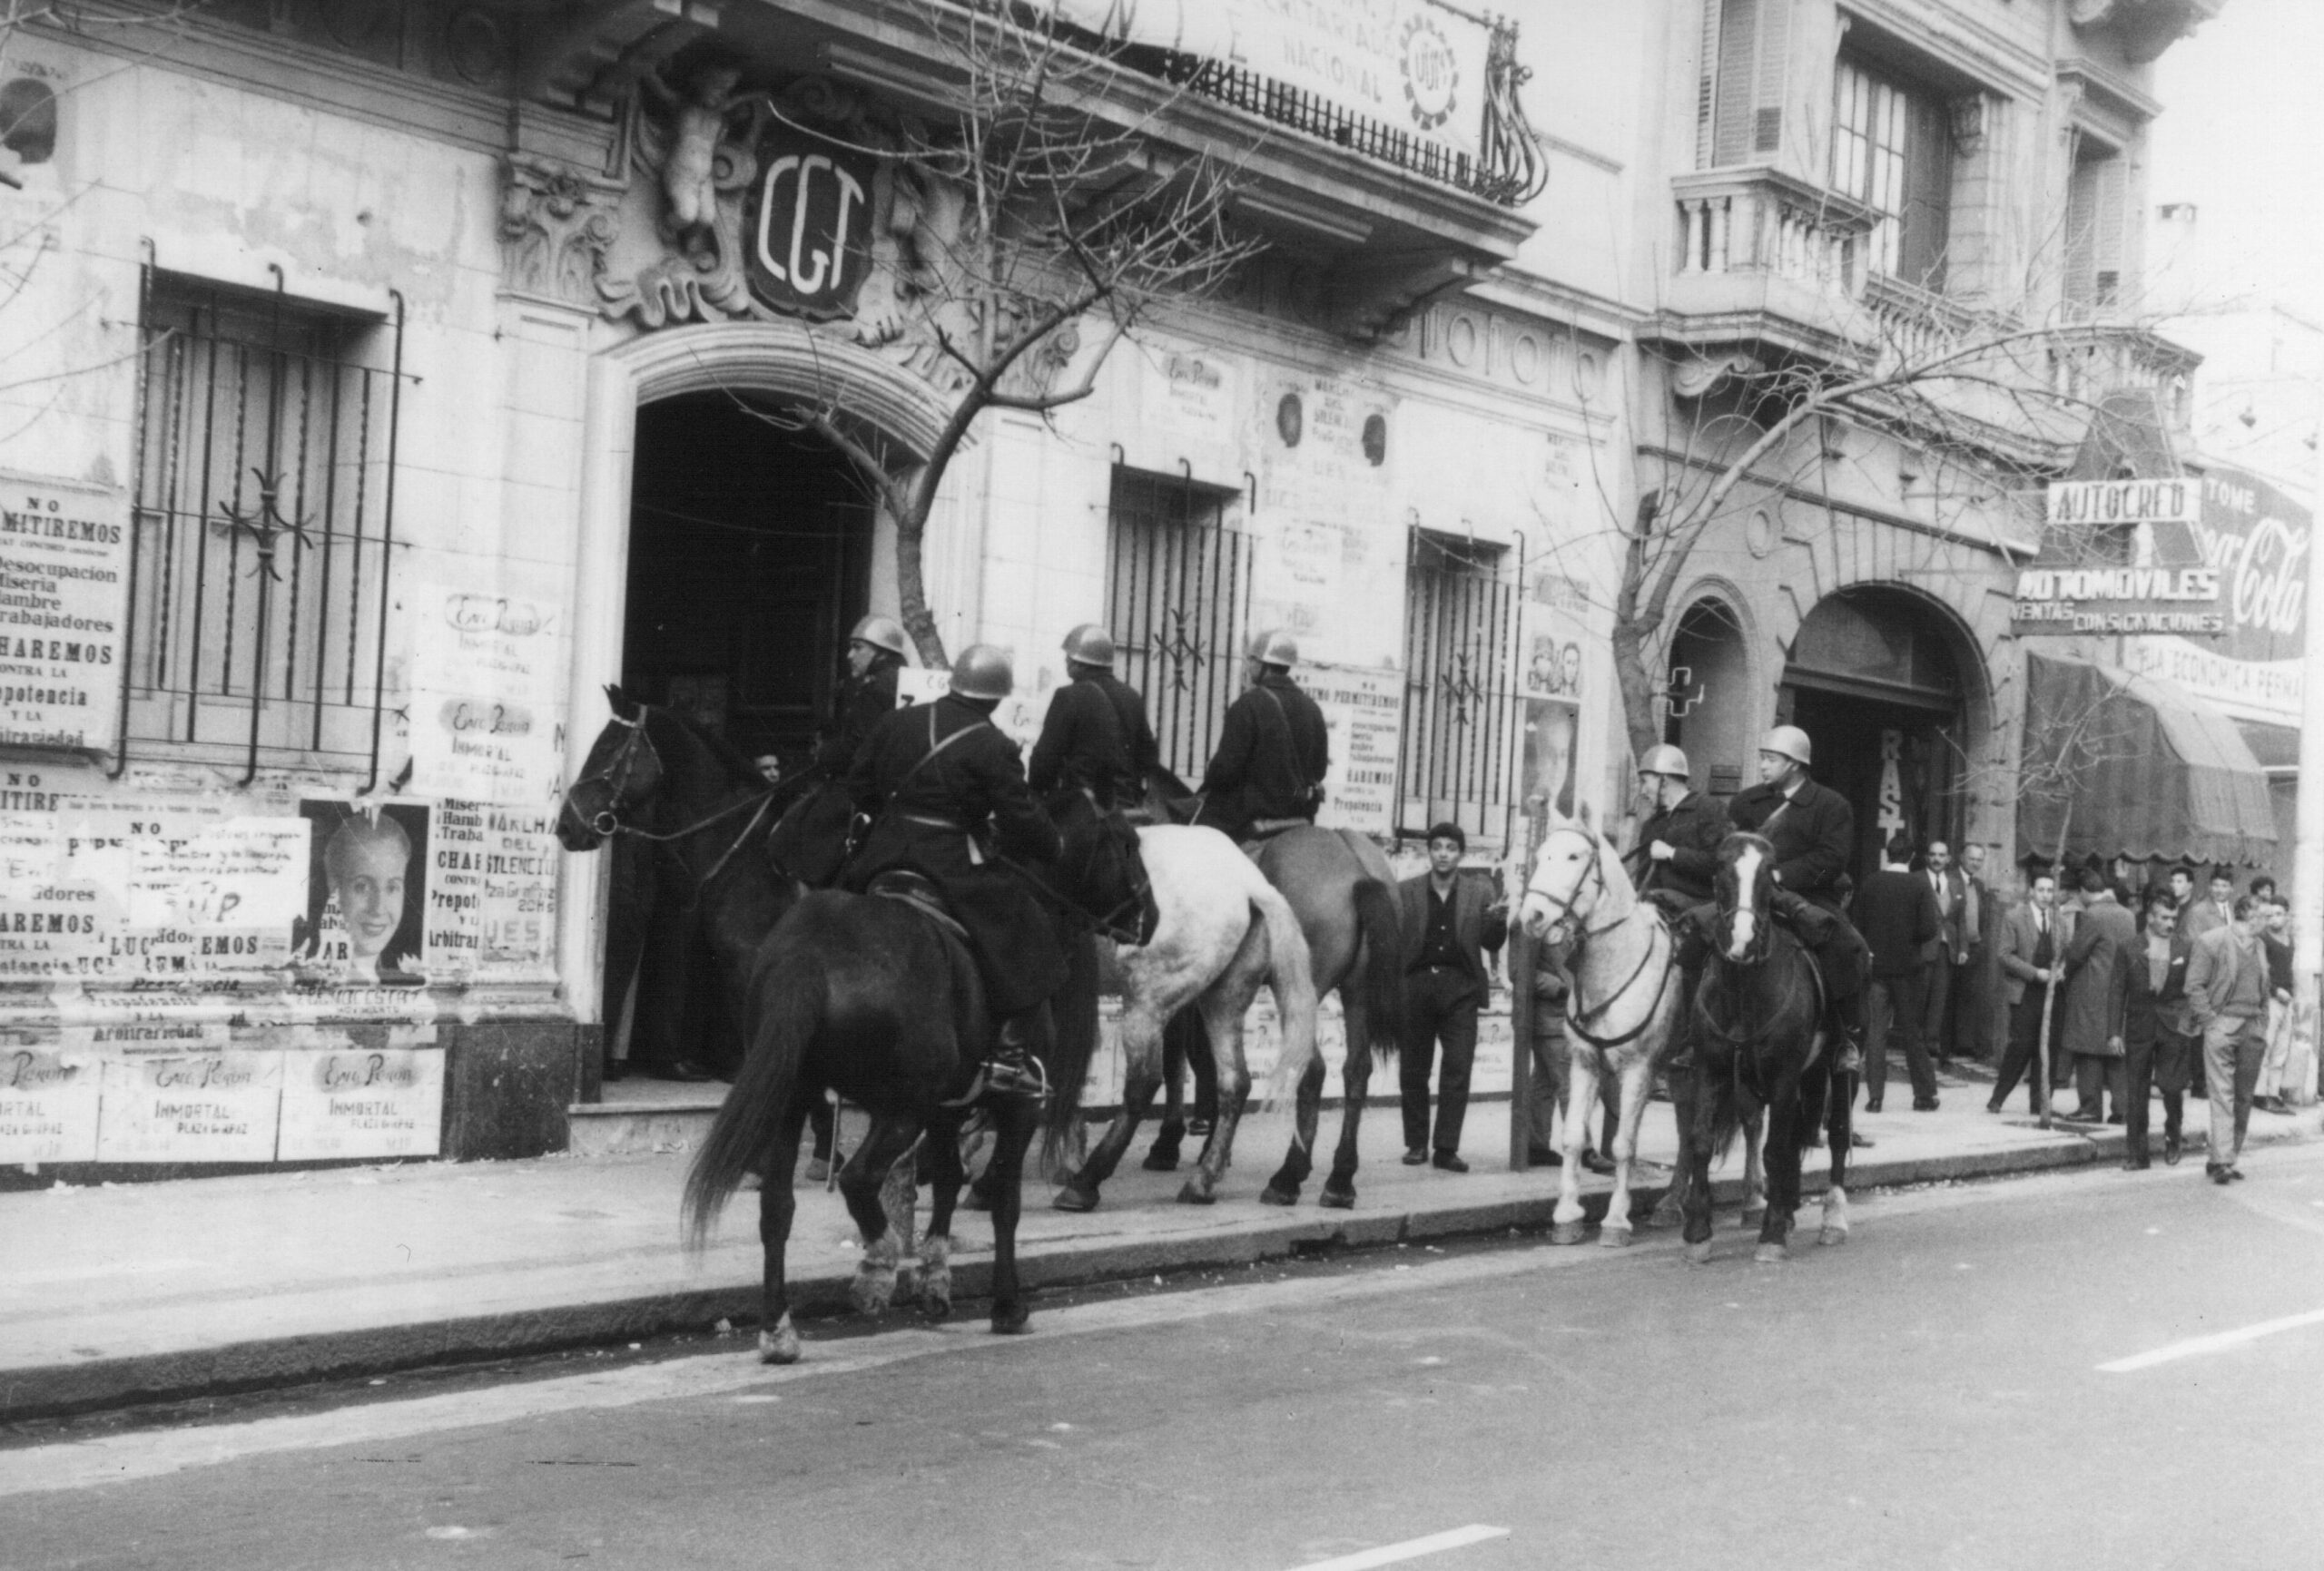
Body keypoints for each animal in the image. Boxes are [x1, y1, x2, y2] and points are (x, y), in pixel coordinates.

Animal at [1050, 827, 1320, 1208]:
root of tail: (1249, 884)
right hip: (1224, 1001)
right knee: (1240, 1080)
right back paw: (1210, 1181)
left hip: (1146, 1004)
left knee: (1144, 1082)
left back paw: (1087, 1182)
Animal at [1515, 809, 1682, 1236]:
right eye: (1539, 856)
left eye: (1574, 856)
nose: (1532, 917)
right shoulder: (1584, 1063)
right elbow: (1574, 1137)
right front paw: (1567, 1215)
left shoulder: (1639, 1069)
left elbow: (1624, 1144)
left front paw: (1617, 1219)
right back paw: (1674, 1204)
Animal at [1682, 836, 1859, 1263]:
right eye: (1720, 869)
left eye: (1769, 874)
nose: (1742, 940)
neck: (1743, 989)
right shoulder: (1710, 1069)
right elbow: (1700, 1141)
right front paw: (1698, 1234)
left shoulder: (1783, 1075)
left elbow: (1776, 1149)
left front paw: (1772, 1234)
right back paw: (1790, 1207)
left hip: (1837, 1073)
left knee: (1837, 1135)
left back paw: (1832, 1219)